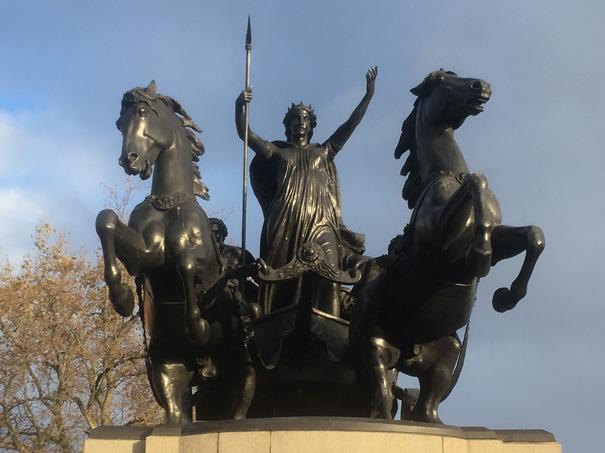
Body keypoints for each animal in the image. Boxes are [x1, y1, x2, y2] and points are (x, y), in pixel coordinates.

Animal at [95, 80, 255, 420]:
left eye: (143, 112)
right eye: (119, 123)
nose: (129, 160)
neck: (169, 204)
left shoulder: (204, 264)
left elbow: (186, 263)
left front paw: (198, 325)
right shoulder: (146, 257)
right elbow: (107, 220)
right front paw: (122, 297)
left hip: (243, 365)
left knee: (239, 407)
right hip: (167, 365)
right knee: (177, 412)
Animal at [350, 69, 544, 422]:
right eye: (442, 80)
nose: (482, 86)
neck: (447, 175)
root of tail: (408, 351)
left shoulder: (495, 241)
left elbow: (533, 236)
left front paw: (507, 297)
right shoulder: (439, 241)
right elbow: (478, 181)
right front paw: (481, 255)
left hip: (446, 356)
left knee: (427, 411)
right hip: (377, 348)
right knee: (383, 400)